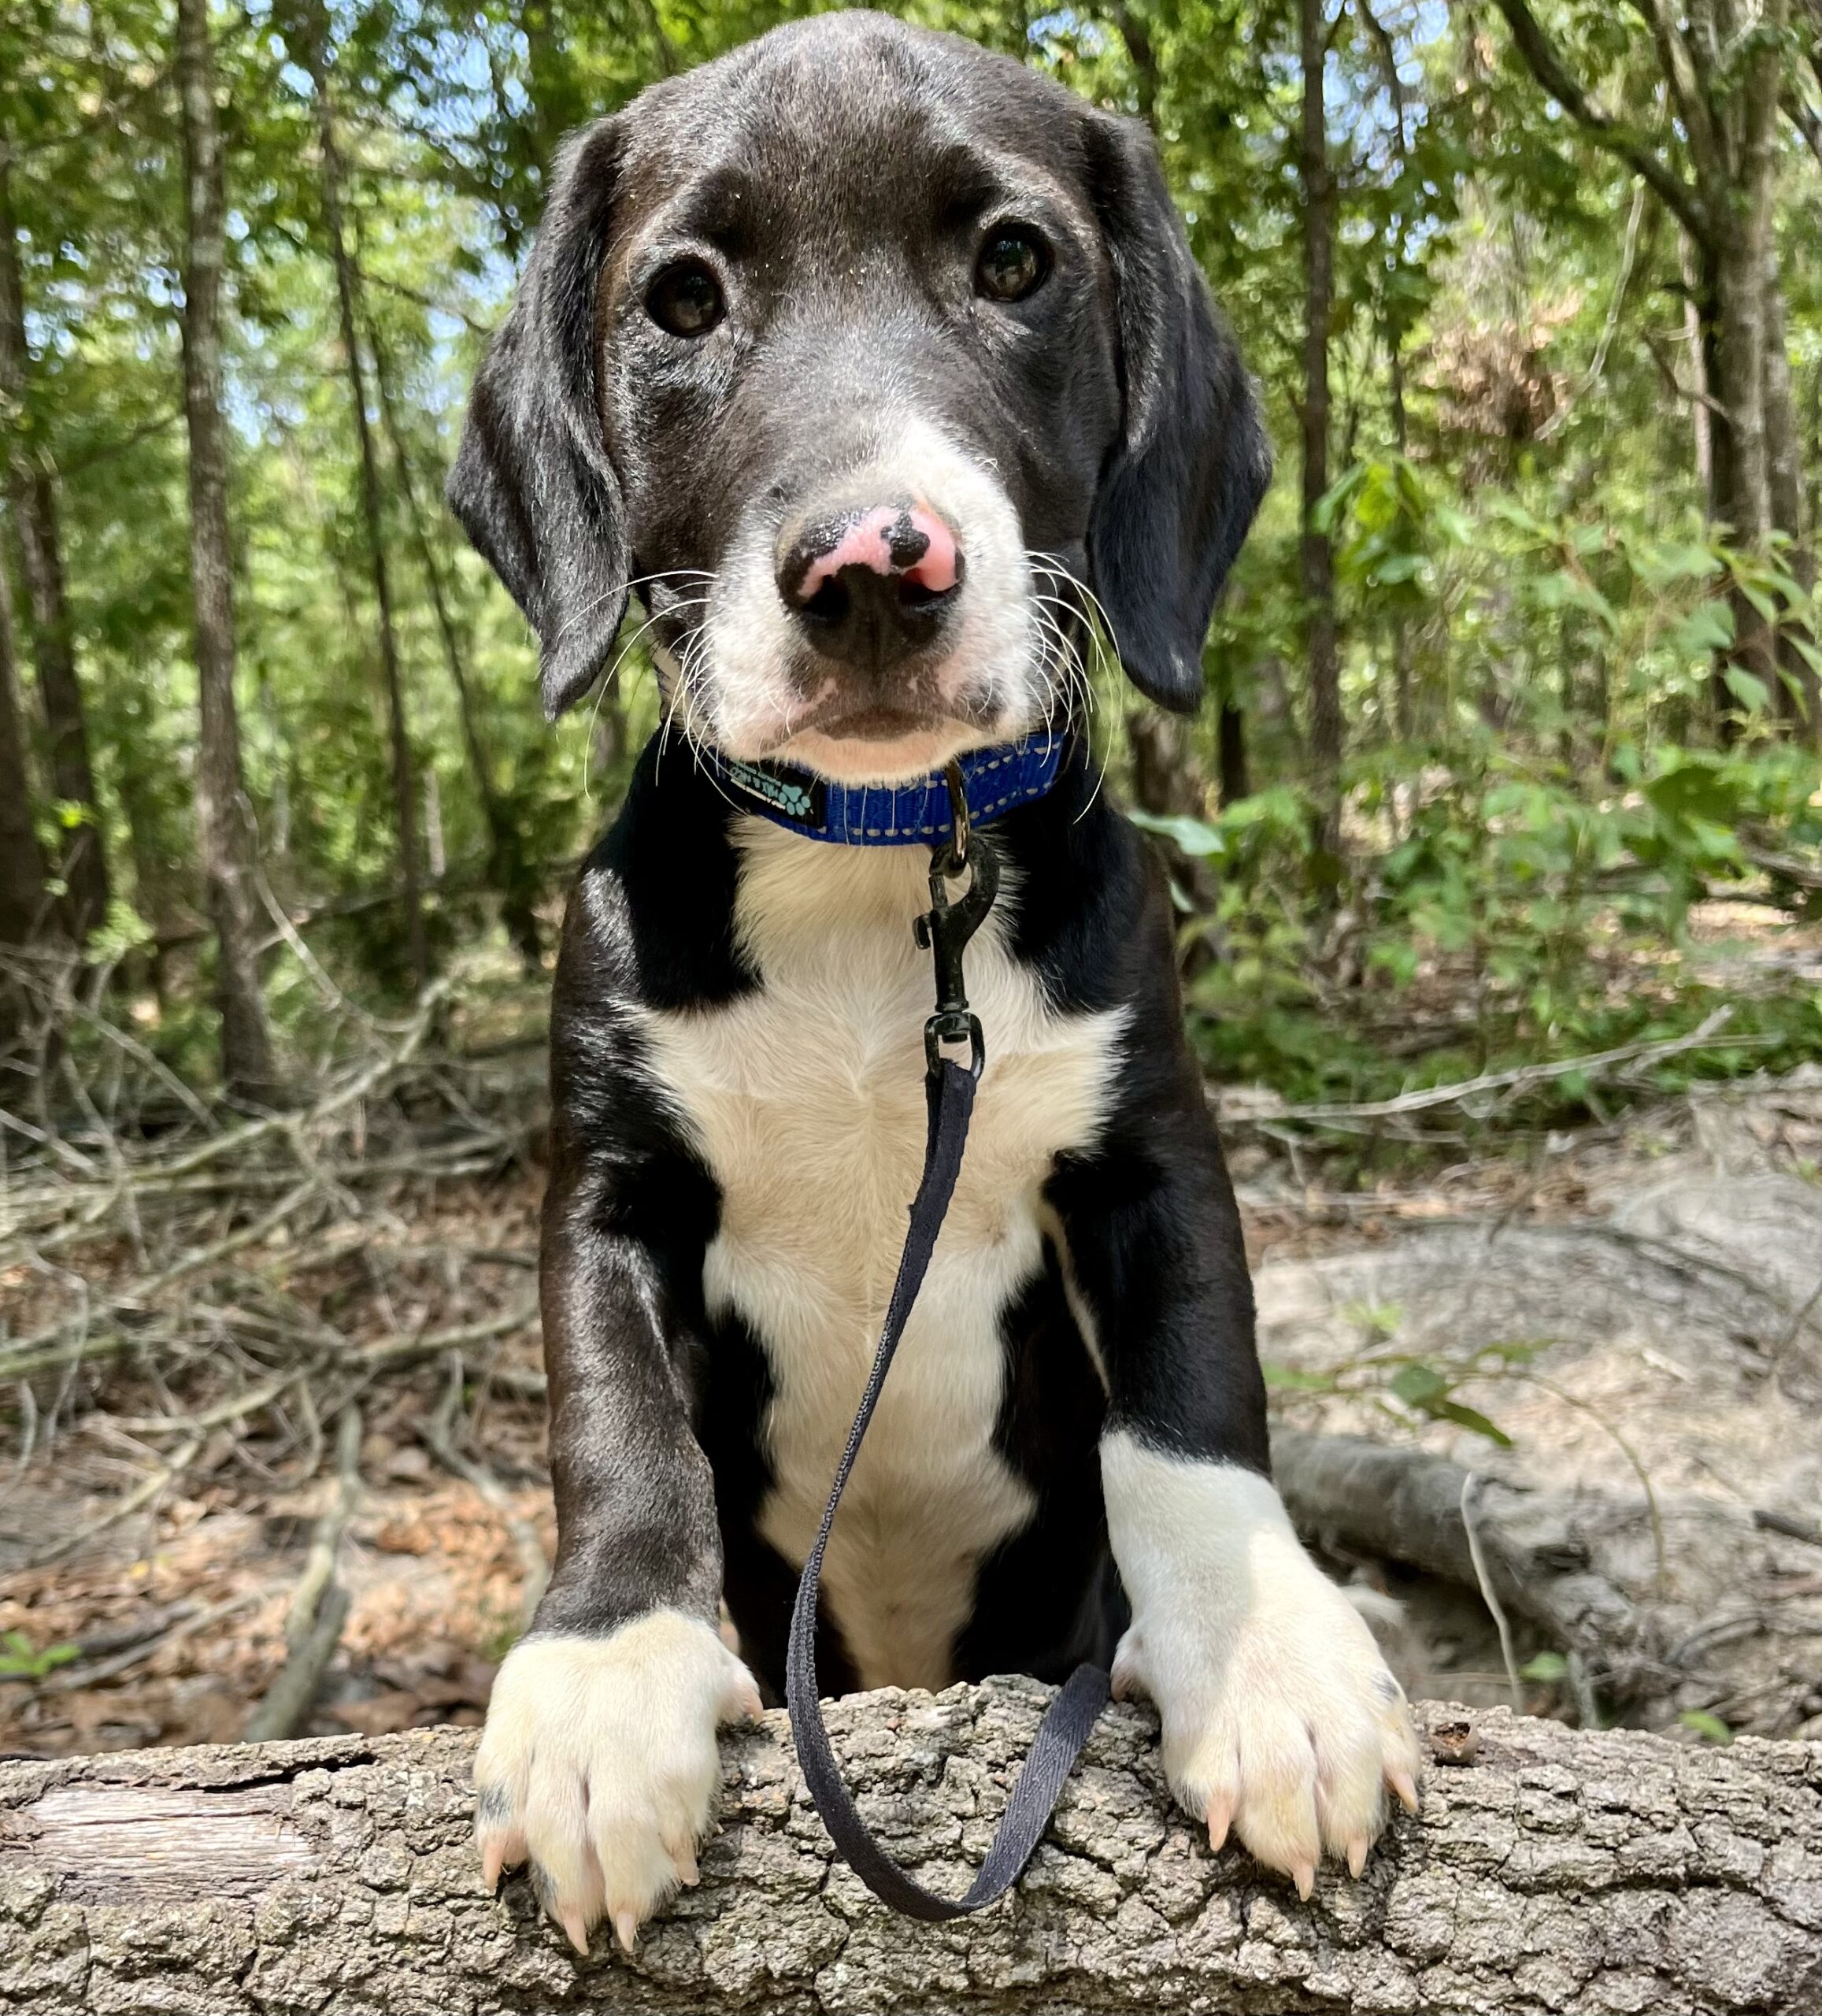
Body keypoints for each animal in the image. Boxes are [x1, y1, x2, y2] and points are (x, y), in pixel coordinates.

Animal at [448, 9, 1421, 1954]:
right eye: (681, 300)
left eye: (1014, 263)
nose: (871, 567)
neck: (878, 866)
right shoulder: (607, 1184)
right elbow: (615, 1420)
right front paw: (601, 1680)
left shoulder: (1146, 1154)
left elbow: (1190, 1412)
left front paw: (1267, 1659)